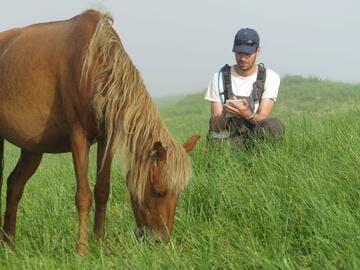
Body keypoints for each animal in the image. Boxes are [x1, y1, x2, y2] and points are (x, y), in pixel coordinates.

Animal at [0, 10, 200, 255]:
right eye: (158, 191)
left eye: (178, 193)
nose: (160, 241)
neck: (94, 63)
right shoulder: (78, 137)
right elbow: (83, 195)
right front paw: (82, 250)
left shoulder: (107, 138)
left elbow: (102, 191)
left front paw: (101, 244)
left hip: (32, 148)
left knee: (14, 185)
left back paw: (9, 245)